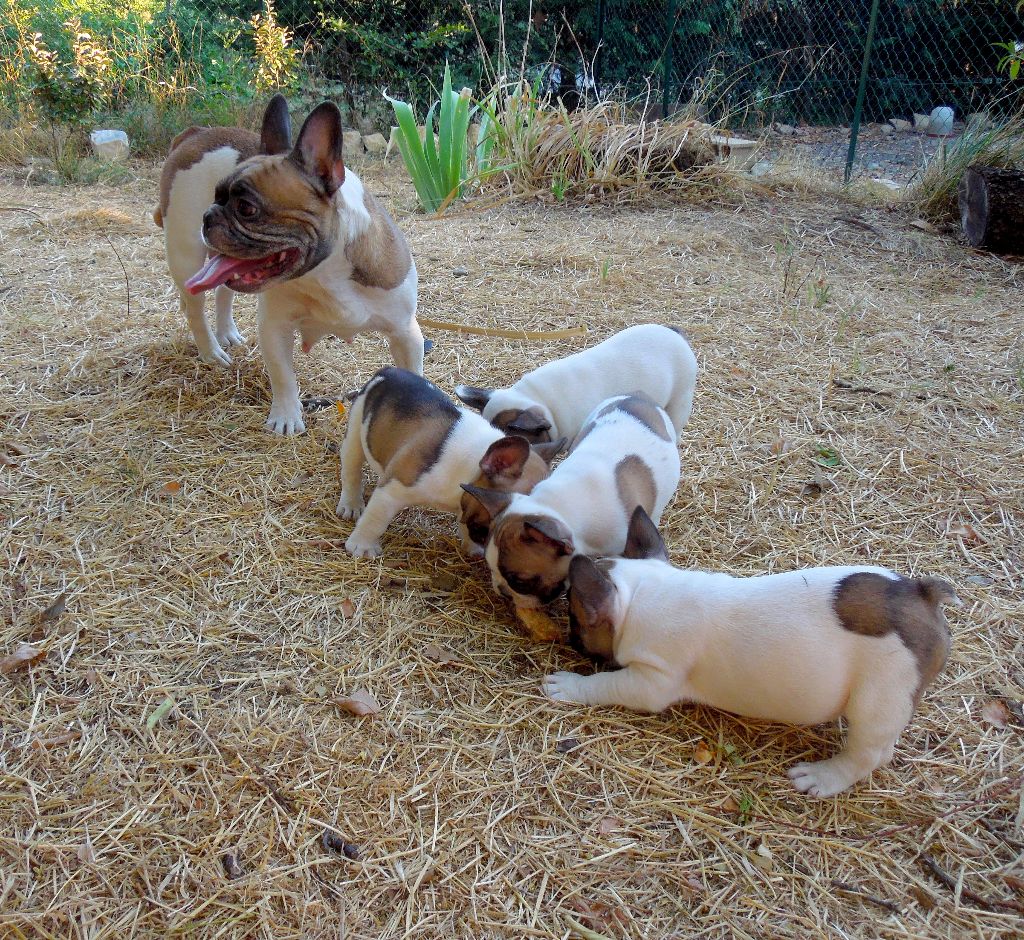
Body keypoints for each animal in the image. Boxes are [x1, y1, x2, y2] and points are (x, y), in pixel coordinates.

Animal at [152, 95, 423, 434]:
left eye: (246, 208)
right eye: (216, 195)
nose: (209, 214)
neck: (325, 274)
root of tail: (196, 133)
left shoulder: (405, 333)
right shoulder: (275, 327)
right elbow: (283, 375)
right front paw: (286, 417)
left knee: (223, 291)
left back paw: (227, 334)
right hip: (185, 252)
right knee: (195, 308)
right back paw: (211, 351)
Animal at [335, 368, 565, 561]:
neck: (472, 466)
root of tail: (387, 371)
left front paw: (472, 547)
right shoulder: (393, 490)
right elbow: (375, 520)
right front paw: (362, 546)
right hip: (356, 430)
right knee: (352, 470)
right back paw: (351, 505)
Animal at [548, 511, 954, 798]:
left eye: (575, 618)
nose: (570, 638)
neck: (643, 594)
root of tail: (922, 596)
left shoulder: (650, 680)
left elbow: (605, 683)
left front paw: (567, 685)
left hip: (881, 697)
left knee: (869, 753)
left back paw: (822, 776)